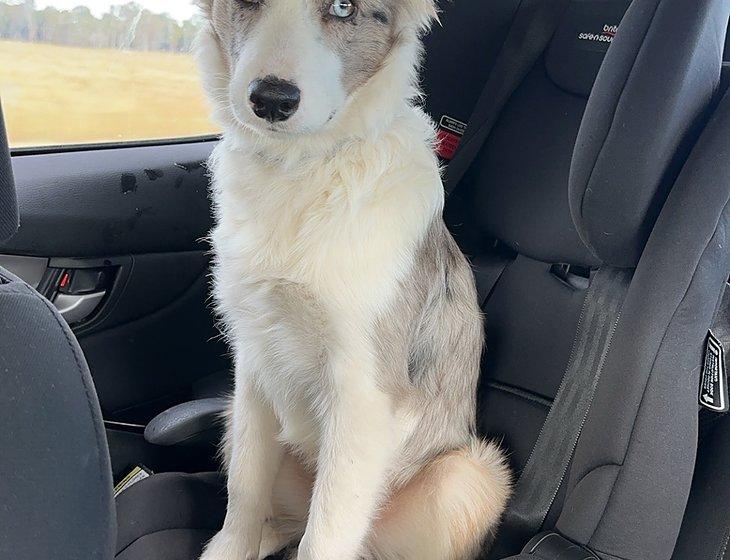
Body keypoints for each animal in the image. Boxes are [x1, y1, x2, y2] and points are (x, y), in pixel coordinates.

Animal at [195, 1, 512, 560]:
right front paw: (230, 548)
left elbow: (324, 537)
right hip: (233, 416)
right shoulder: (253, 364)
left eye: (344, 8)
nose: (271, 100)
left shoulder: (364, 394)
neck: (303, 170)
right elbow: (244, 492)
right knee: (288, 521)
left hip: (470, 475)